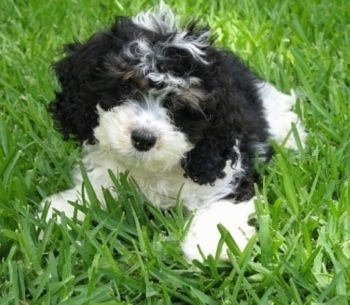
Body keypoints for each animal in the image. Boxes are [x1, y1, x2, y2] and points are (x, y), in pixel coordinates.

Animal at [42, 4, 306, 262]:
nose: (143, 139)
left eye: (179, 106)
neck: (151, 170)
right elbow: (97, 185)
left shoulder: (228, 174)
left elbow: (223, 203)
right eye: (125, 87)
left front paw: (212, 243)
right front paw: (62, 210)